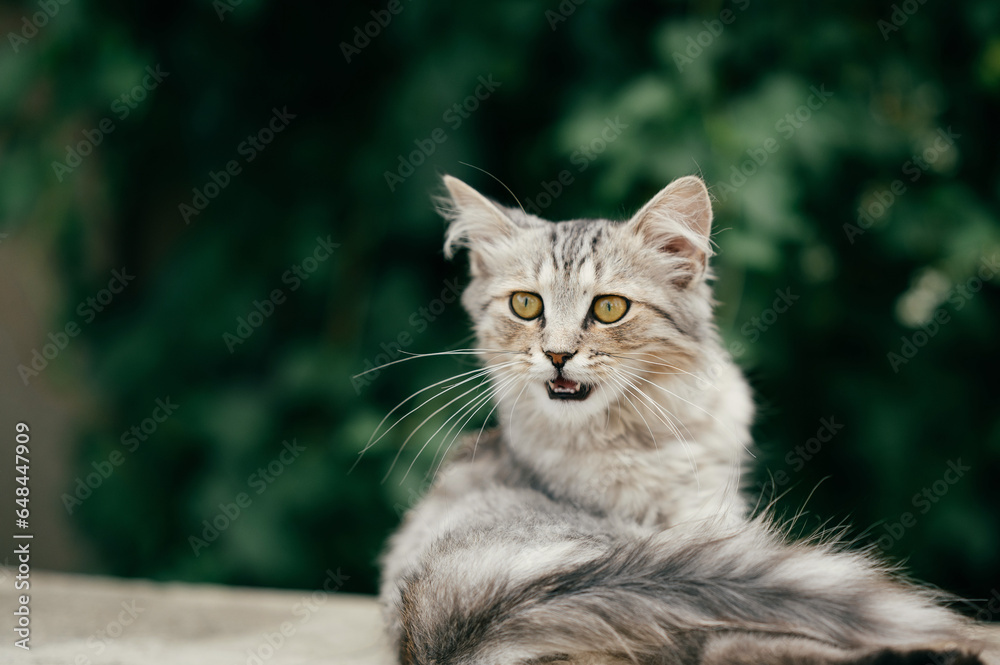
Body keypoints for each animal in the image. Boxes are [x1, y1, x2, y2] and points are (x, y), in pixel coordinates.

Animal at [376, 175, 984, 664]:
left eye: (609, 308)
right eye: (526, 305)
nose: (556, 355)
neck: (646, 436)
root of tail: (428, 616)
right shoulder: (701, 540)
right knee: (732, 645)